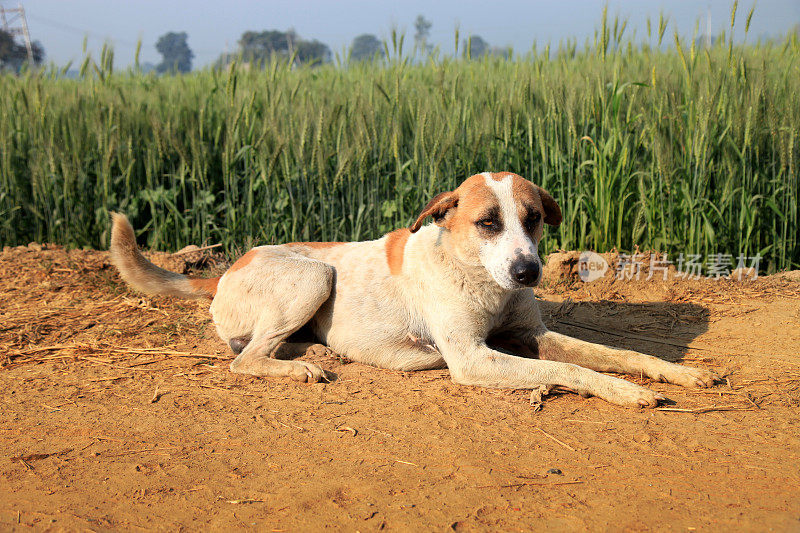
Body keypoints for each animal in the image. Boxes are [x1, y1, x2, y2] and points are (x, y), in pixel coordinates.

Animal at [111, 172, 720, 406]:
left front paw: (681, 373)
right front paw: (626, 393)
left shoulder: (531, 335)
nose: (529, 272)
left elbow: (617, 353)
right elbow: (573, 368)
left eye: (532, 219)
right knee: (244, 359)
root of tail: (227, 268)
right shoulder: (473, 358)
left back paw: (313, 349)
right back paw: (300, 366)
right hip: (315, 274)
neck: (482, 280)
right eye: (488, 223)